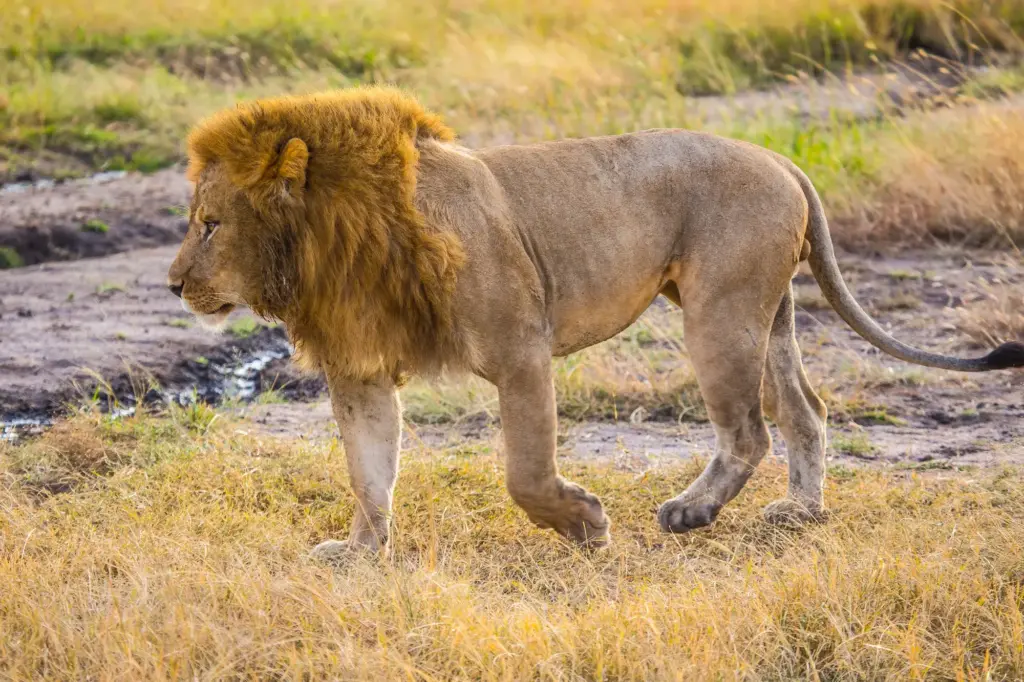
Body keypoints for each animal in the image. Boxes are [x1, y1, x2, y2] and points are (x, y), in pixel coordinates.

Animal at [167, 87, 1024, 559]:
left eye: (210, 225)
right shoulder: (362, 371)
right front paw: (360, 552)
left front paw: (585, 526)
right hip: (767, 313)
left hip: (720, 312)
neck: (329, 243)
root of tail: (778, 158)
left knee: (749, 430)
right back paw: (800, 513)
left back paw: (690, 512)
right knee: (806, 412)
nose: (174, 285)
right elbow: (369, 473)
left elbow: (525, 473)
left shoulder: (522, 349)